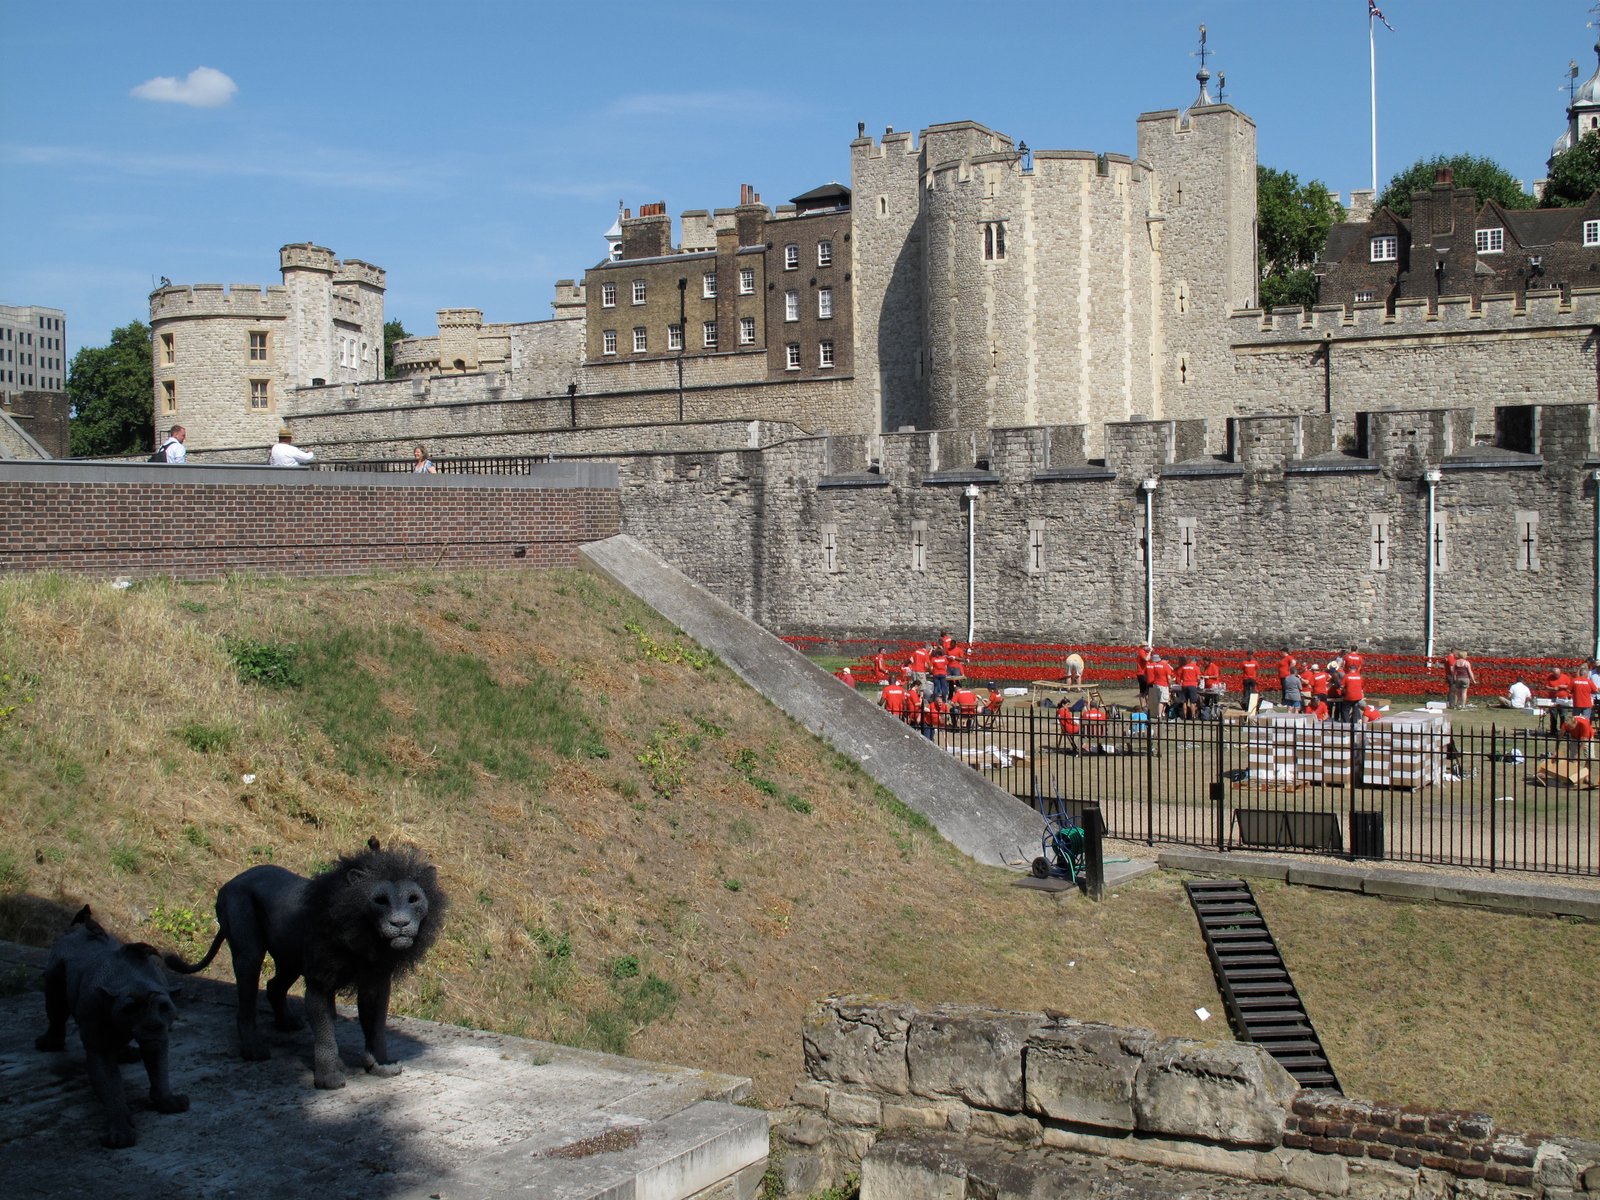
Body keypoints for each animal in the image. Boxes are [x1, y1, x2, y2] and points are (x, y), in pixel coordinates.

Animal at [36, 906, 190, 1148]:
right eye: (130, 1009)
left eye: (164, 1007)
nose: (152, 1025)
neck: (132, 979)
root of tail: (78, 932)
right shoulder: (97, 1038)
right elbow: (109, 1083)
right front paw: (120, 1131)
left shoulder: (159, 1033)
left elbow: (158, 1066)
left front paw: (168, 1102)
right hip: (55, 974)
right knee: (56, 1008)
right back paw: (50, 1043)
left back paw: (126, 1053)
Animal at [166, 837, 446, 1090]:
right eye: (380, 900)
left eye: (413, 899)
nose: (400, 923)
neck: (366, 933)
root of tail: (232, 881)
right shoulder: (320, 982)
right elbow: (324, 1031)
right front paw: (329, 1077)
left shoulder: (376, 981)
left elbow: (375, 1024)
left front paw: (379, 1065)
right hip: (248, 948)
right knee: (247, 995)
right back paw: (253, 1048)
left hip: (289, 960)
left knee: (273, 986)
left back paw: (287, 1022)